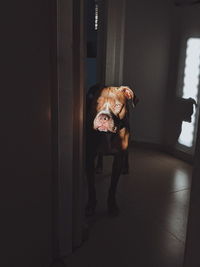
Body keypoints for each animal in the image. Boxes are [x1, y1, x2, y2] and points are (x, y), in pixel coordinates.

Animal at [85, 86, 138, 218]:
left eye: (117, 105)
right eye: (97, 103)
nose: (103, 117)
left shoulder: (118, 158)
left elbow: (113, 186)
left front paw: (112, 205)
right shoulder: (89, 156)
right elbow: (91, 186)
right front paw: (91, 206)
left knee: (127, 154)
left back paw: (126, 167)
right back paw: (99, 166)